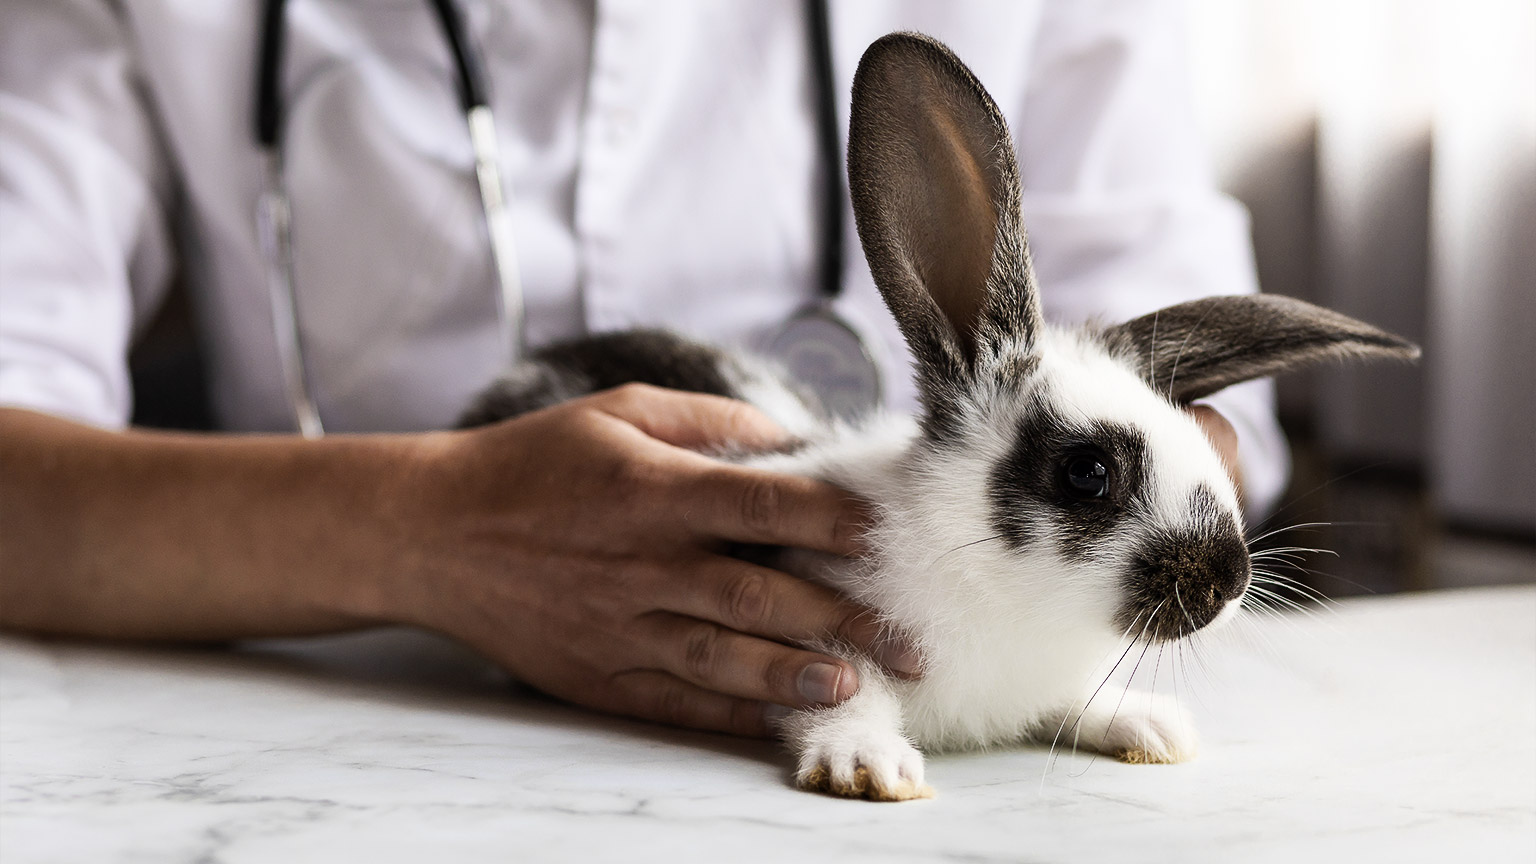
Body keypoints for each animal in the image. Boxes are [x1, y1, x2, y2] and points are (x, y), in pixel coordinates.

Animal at [460, 33, 1419, 799]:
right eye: (1088, 472)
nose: (1227, 579)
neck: (1007, 593)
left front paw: (1150, 727)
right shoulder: (813, 629)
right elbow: (843, 690)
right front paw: (867, 766)